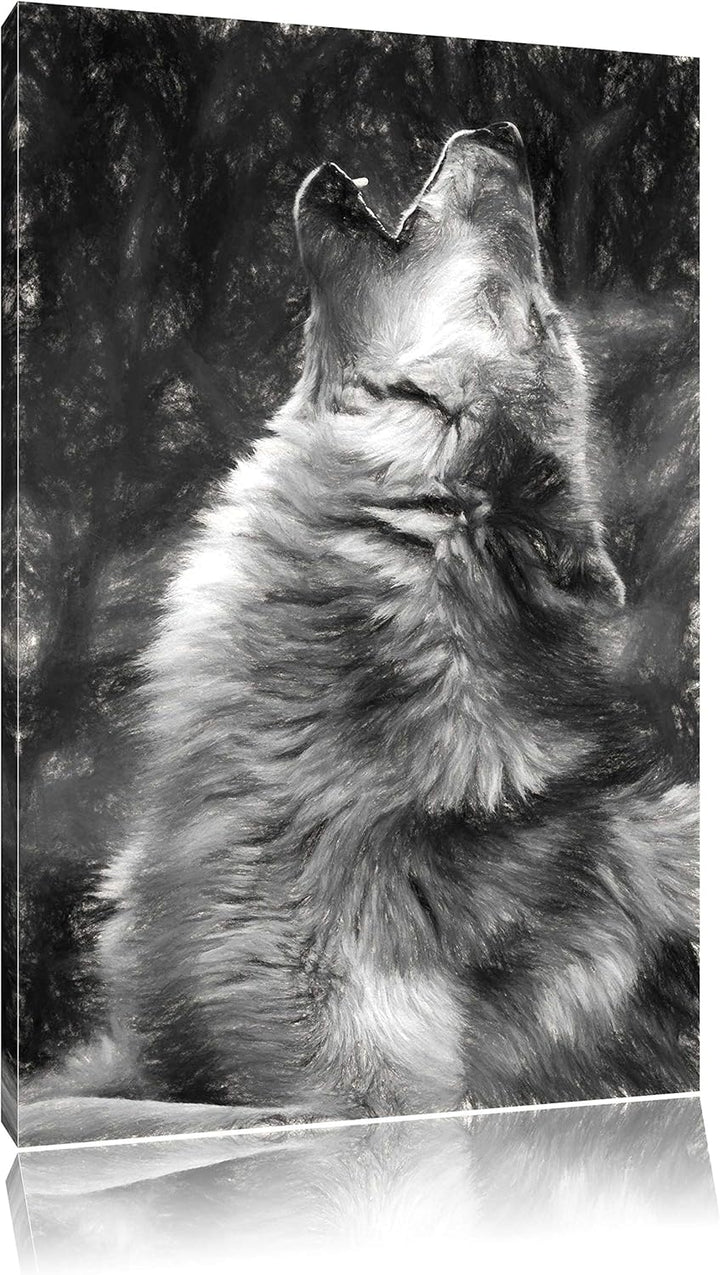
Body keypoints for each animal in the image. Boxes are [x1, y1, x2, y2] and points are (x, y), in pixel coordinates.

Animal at [22, 125, 698, 1144]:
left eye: (537, 317)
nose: (504, 134)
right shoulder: (147, 1052)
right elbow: (59, 1096)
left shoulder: (355, 1096)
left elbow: (109, 1122)